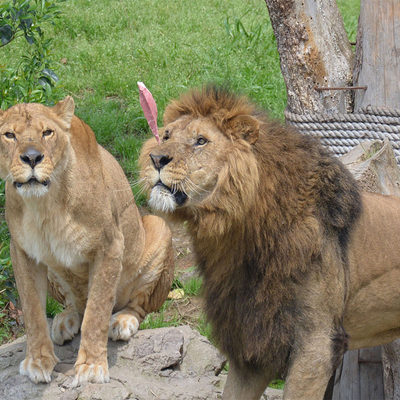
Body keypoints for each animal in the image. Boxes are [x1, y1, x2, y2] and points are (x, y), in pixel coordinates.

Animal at [0, 98, 173, 386]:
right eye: (9, 135)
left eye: (47, 132)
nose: (32, 157)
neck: (45, 205)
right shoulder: (23, 251)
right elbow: (33, 311)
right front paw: (38, 360)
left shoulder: (110, 246)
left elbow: (97, 311)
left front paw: (91, 366)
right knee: (77, 305)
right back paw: (65, 321)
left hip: (159, 227)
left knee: (137, 305)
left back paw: (122, 321)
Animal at [140, 86, 400, 400]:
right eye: (165, 136)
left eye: (201, 141)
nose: (155, 158)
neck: (238, 238)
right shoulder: (251, 340)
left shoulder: (317, 342)